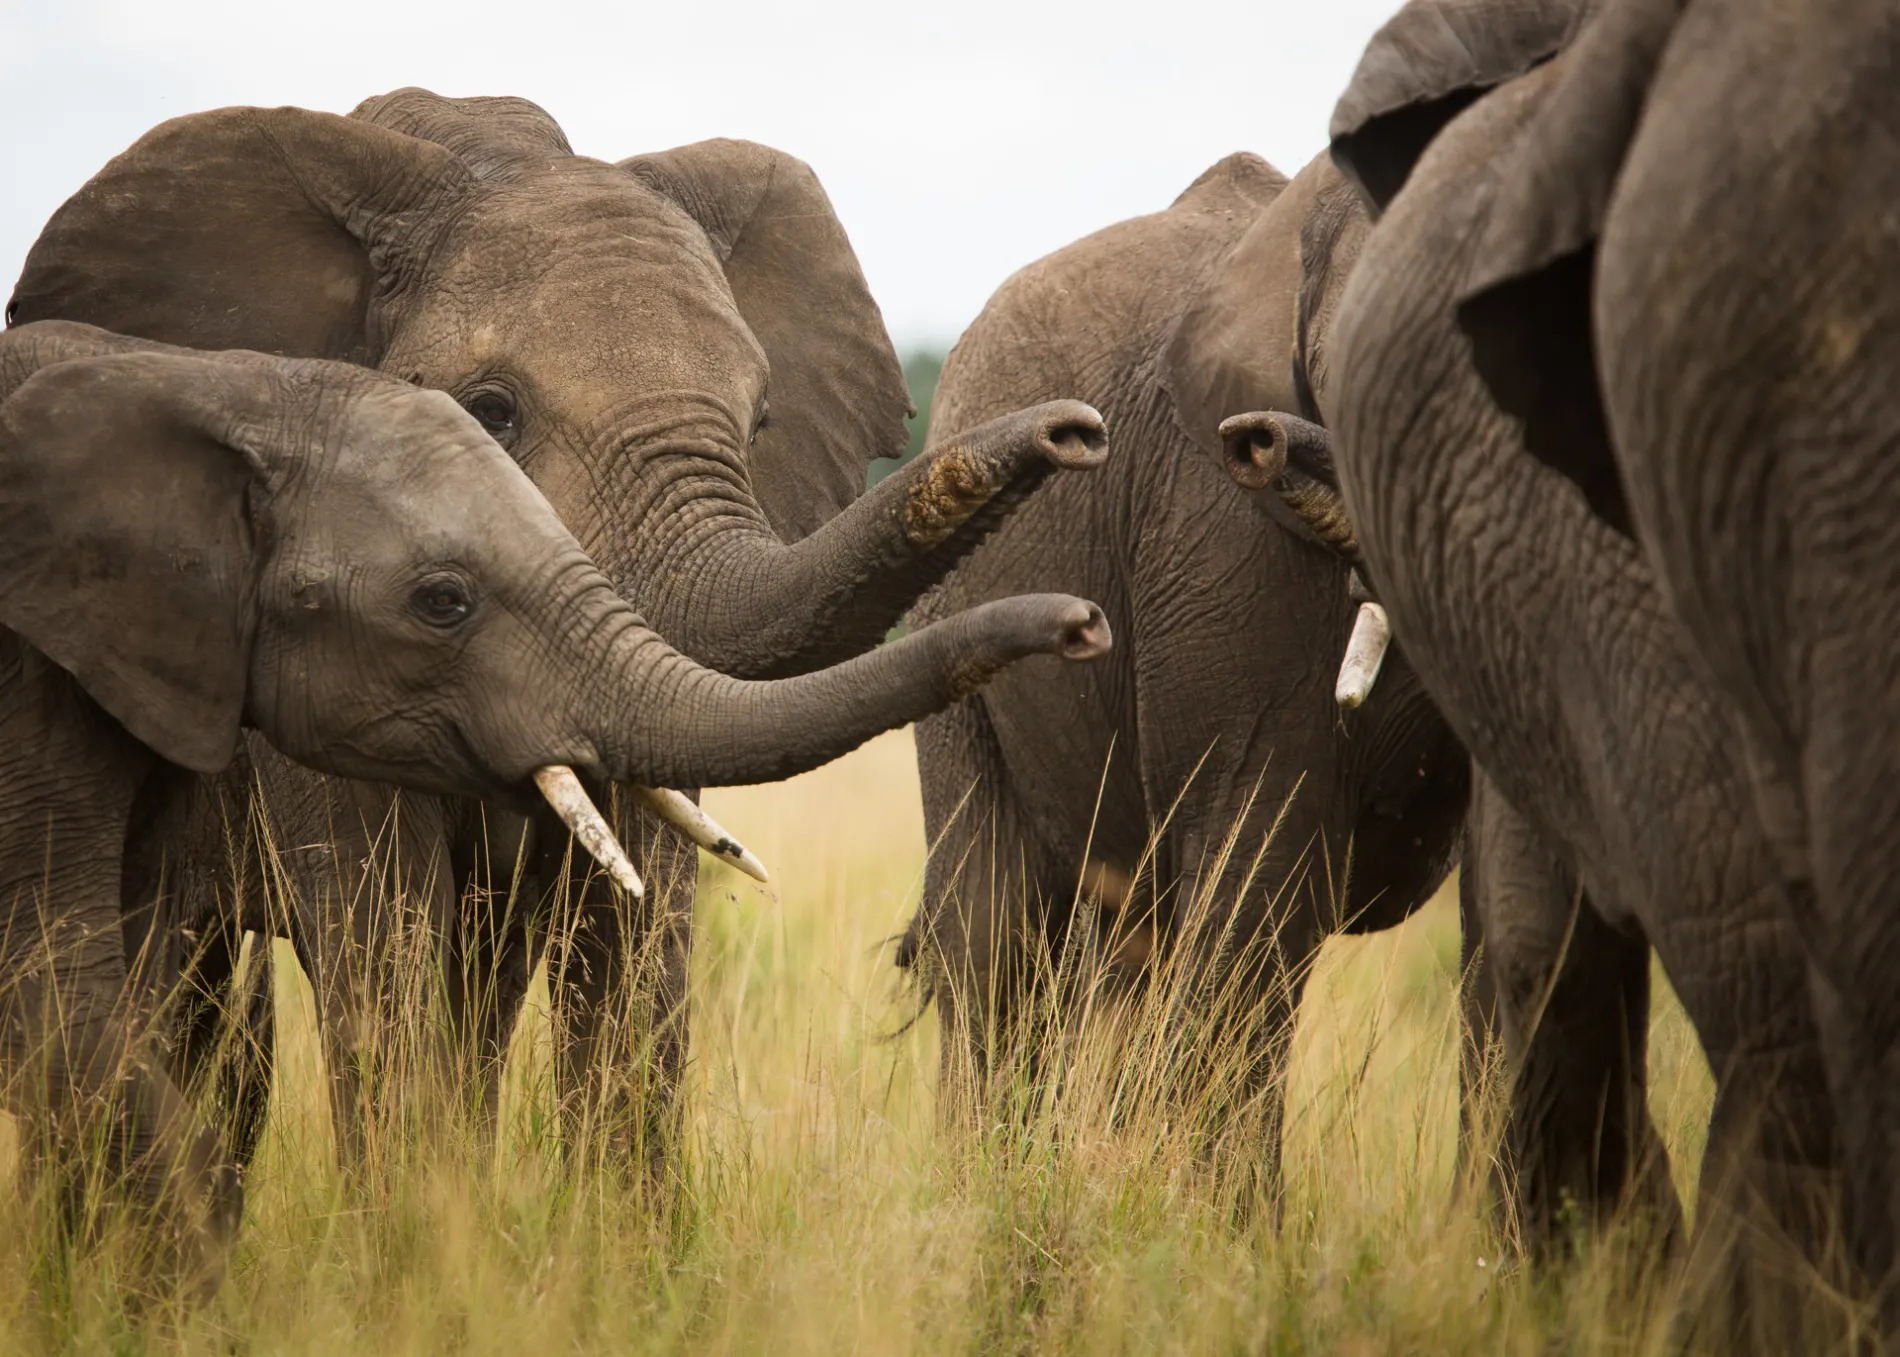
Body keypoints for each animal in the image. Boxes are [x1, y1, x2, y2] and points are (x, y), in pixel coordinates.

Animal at [7, 89, 1109, 1170]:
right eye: (492, 411)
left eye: (760, 425)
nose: (1076, 431)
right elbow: (381, 926)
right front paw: (421, 1219)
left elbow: (633, 932)